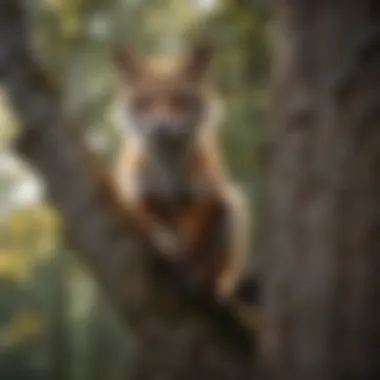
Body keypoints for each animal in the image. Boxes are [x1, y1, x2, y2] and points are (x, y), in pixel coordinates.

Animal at [110, 42, 249, 300]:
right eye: (146, 102)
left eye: (180, 101)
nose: (161, 126)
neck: (168, 175)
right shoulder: (138, 195)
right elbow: (146, 223)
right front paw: (160, 245)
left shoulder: (198, 196)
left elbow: (191, 242)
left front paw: (185, 264)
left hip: (230, 207)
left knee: (215, 275)